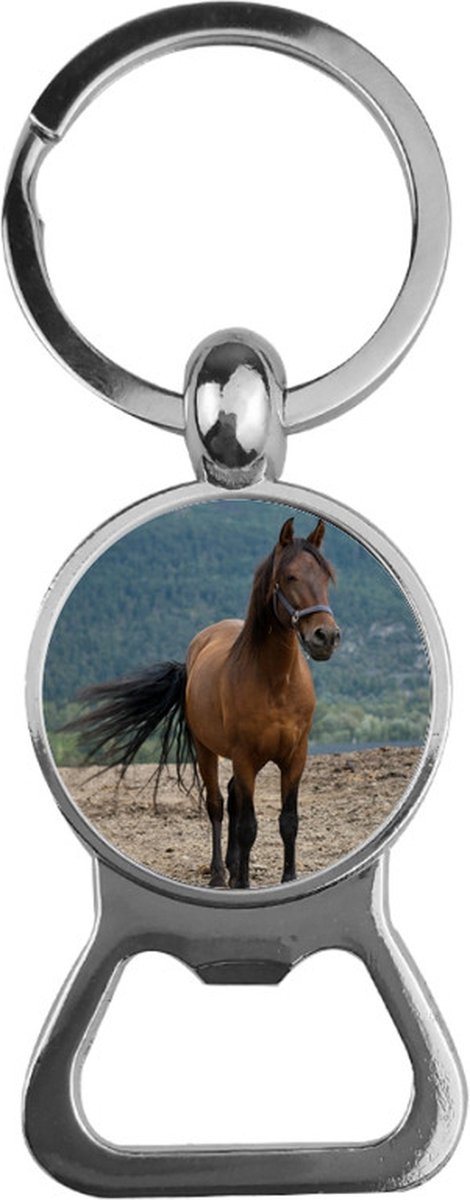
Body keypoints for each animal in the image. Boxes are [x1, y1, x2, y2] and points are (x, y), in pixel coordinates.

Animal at [69, 517, 340, 888]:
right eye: (289, 577)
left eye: (326, 577)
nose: (326, 637)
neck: (276, 683)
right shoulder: (244, 756)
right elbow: (247, 826)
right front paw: (242, 883)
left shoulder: (295, 756)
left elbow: (288, 822)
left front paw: (288, 879)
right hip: (206, 750)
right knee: (217, 803)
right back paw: (219, 874)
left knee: (233, 800)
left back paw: (232, 865)